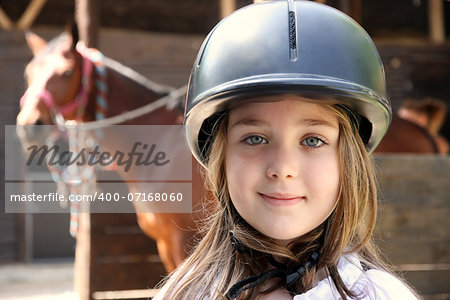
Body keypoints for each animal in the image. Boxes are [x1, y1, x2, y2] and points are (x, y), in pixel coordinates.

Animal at [15, 25, 209, 272]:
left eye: (67, 72)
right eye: (28, 73)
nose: (29, 125)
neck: (163, 140)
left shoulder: (183, 241)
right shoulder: (164, 243)